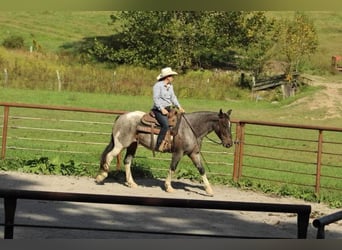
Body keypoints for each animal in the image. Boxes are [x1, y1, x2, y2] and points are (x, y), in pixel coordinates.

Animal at [95, 108, 234, 196]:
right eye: (224, 125)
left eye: (230, 125)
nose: (229, 144)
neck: (190, 128)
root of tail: (121, 116)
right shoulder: (178, 152)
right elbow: (172, 168)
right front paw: (169, 187)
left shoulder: (194, 154)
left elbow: (202, 170)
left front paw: (209, 190)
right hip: (120, 144)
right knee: (109, 156)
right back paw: (101, 176)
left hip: (132, 145)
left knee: (127, 161)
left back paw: (132, 183)